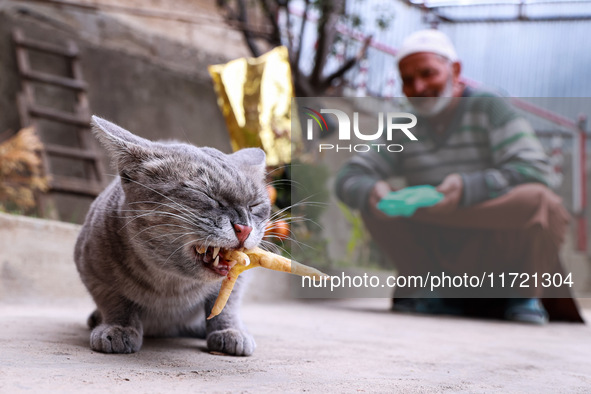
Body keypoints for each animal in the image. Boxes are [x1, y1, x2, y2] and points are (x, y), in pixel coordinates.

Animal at [73, 116, 272, 358]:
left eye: (255, 205)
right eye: (206, 195)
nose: (244, 228)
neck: (171, 286)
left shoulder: (239, 278)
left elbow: (226, 303)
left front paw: (230, 331)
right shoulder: (92, 267)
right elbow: (115, 300)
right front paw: (118, 328)